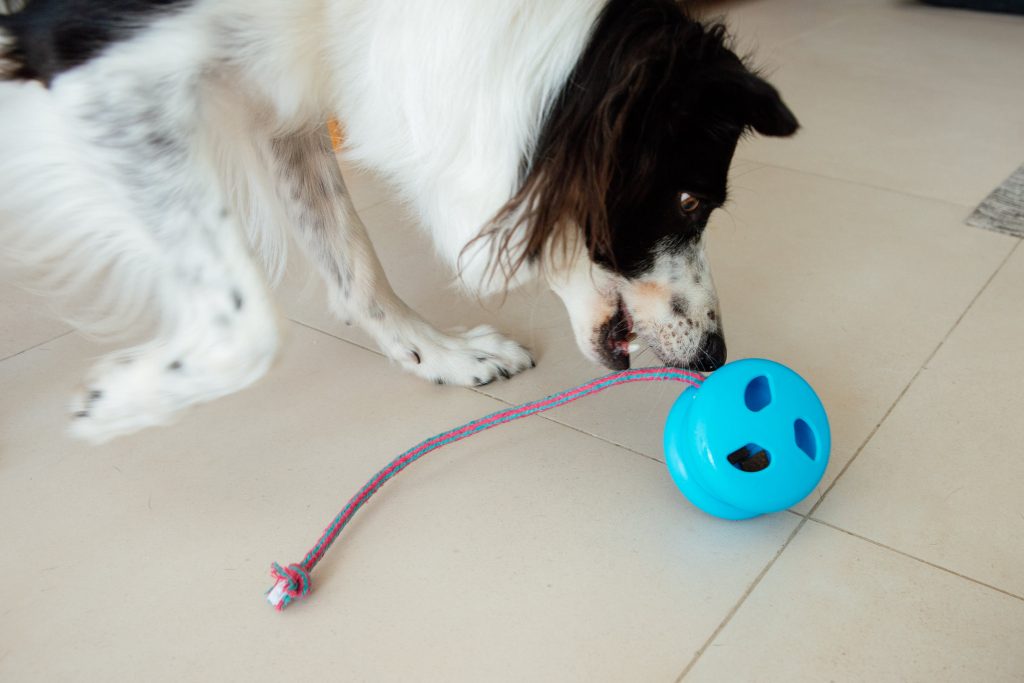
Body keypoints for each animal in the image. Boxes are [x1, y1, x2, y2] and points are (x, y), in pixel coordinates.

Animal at [0, 0, 798, 444]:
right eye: (689, 201)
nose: (717, 356)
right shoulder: (97, 59)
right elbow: (251, 324)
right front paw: (110, 401)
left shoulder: (283, 78)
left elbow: (353, 263)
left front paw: (439, 355)